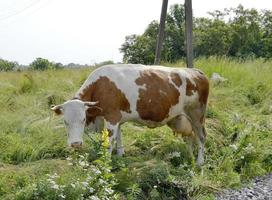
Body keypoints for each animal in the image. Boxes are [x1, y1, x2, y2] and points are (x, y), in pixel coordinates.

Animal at [50, 64, 208, 166]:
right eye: (65, 122)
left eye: (83, 120)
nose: (75, 144)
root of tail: (196, 71)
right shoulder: (117, 119)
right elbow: (119, 139)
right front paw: (120, 156)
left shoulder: (112, 117)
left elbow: (109, 143)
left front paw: (105, 165)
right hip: (180, 119)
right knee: (190, 137)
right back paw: (190, 157)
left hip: (197, 115)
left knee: (201, 136)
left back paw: (199, 162)